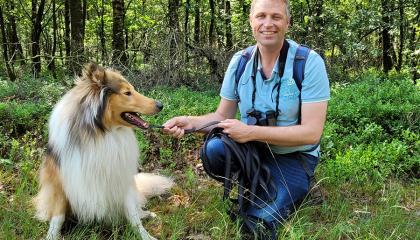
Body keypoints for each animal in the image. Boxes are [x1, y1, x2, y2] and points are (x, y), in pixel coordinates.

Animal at [33, 63, 173, 240]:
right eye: (127, 93)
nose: (161, 105)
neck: (101, 133)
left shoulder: (121, 179)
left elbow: (133, 215)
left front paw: (145, 236)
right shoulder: (60, 182)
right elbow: (58, 217)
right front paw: (52, 236)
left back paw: (147, 214)